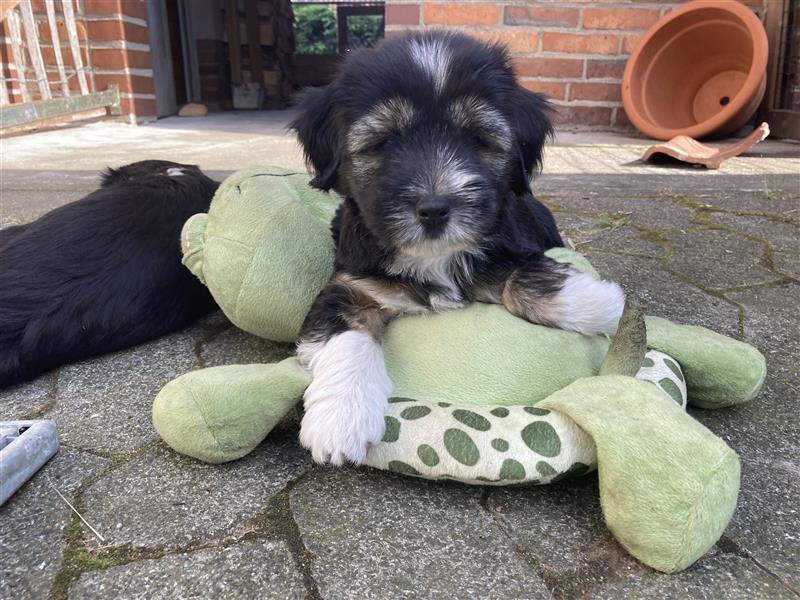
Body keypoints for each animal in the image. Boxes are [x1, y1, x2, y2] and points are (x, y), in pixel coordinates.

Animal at [290, 31, 628, 464]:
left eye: (478, 139)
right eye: (383, 141)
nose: (435, 207)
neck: (434, 257)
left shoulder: (511, 237)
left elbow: (520, 273)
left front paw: (602, 302)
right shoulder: (350, 283)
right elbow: (346, 333)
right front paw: (341, 417)